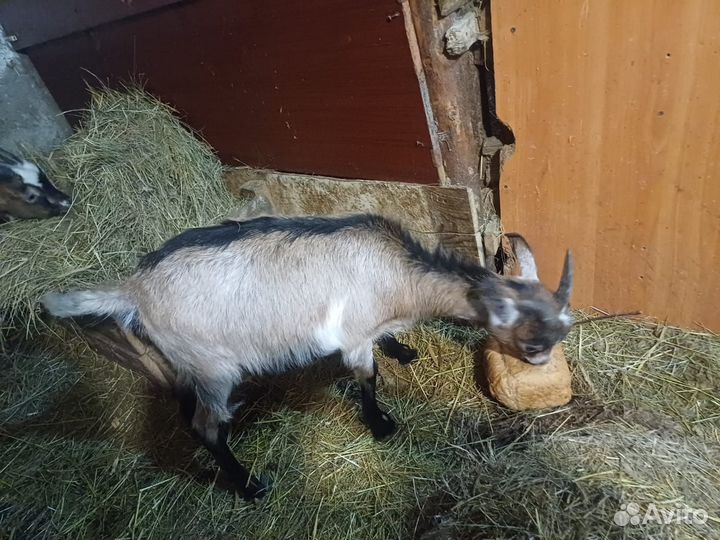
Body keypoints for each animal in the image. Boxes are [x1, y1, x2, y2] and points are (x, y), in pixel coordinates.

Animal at [41, 214, 573, 499]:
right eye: (531, 344)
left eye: (563, 327)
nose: (542, 366)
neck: (397, 275)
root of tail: (132, 289)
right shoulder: (352, 333)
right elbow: (366, 377)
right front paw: (380, 425)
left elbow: (386, 345)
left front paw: (402, 349)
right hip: (214, 364)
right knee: (205, 426)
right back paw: (249, 485)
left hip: (189, 363)